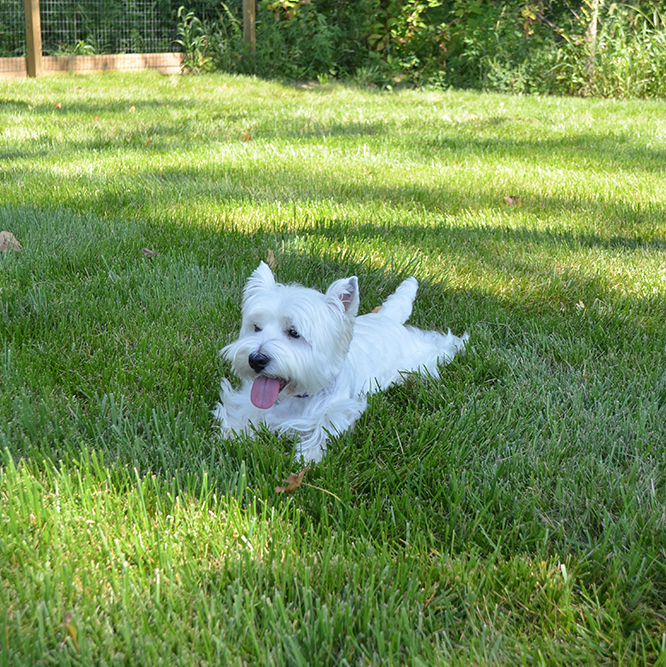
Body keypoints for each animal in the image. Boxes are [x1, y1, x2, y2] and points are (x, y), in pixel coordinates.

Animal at [214, 264, 466, 462]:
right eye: (256, 327)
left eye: (294, 332)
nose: (256, 360)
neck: (297, 397)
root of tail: (386, 317)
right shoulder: (248, 401)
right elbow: (243, 412)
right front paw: (233, 435)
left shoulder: (339, 410)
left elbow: (322, 428)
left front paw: (308, 457)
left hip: (418, 356)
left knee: (438, 345)